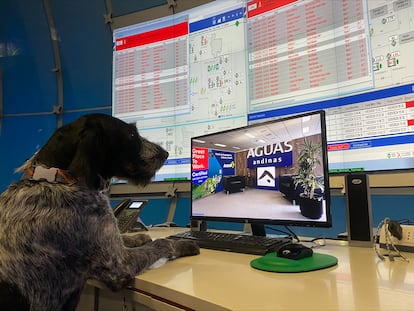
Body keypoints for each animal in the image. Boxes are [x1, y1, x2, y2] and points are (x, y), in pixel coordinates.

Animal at [0, 114, 201, 311]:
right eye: (132, 135)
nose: (165, 153)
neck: (56, 177)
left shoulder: (109, 240)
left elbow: (124, 237)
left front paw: (140, 237)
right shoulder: (120, 265)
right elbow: (162, 243)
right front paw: (184, 245)